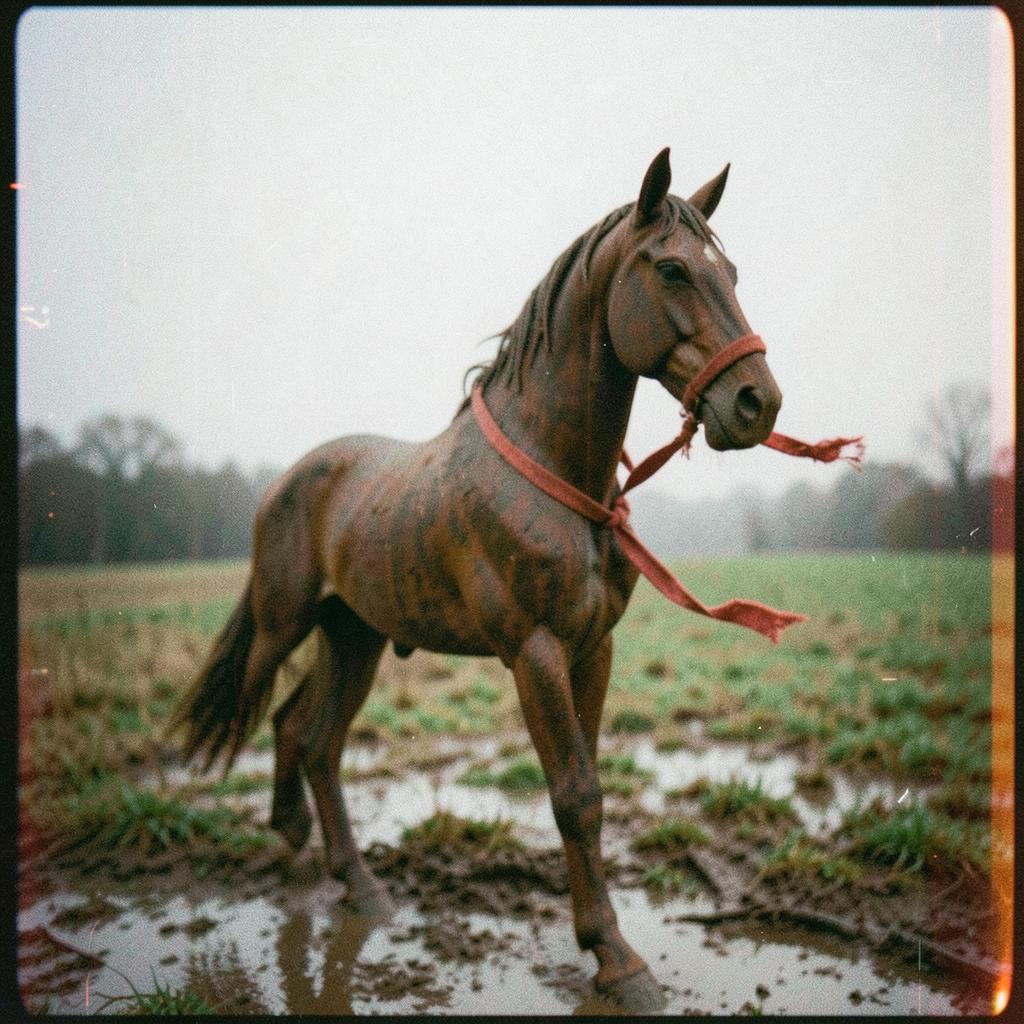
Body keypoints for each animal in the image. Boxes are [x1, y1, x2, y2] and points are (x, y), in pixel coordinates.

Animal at [170, 148, 787, 1010]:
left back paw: (356, 881)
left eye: (729, 270)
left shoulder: (592, 651)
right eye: (671, 269)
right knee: (271, 717)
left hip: (354, 637)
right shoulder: (535, 653)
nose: (758, 402)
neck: (556, 472)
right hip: (283, 625)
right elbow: (575, 798)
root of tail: (288, 480)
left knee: (311, 735)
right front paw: (617, 960)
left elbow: (588, 787)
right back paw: (296, 844)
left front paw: (603, 943)